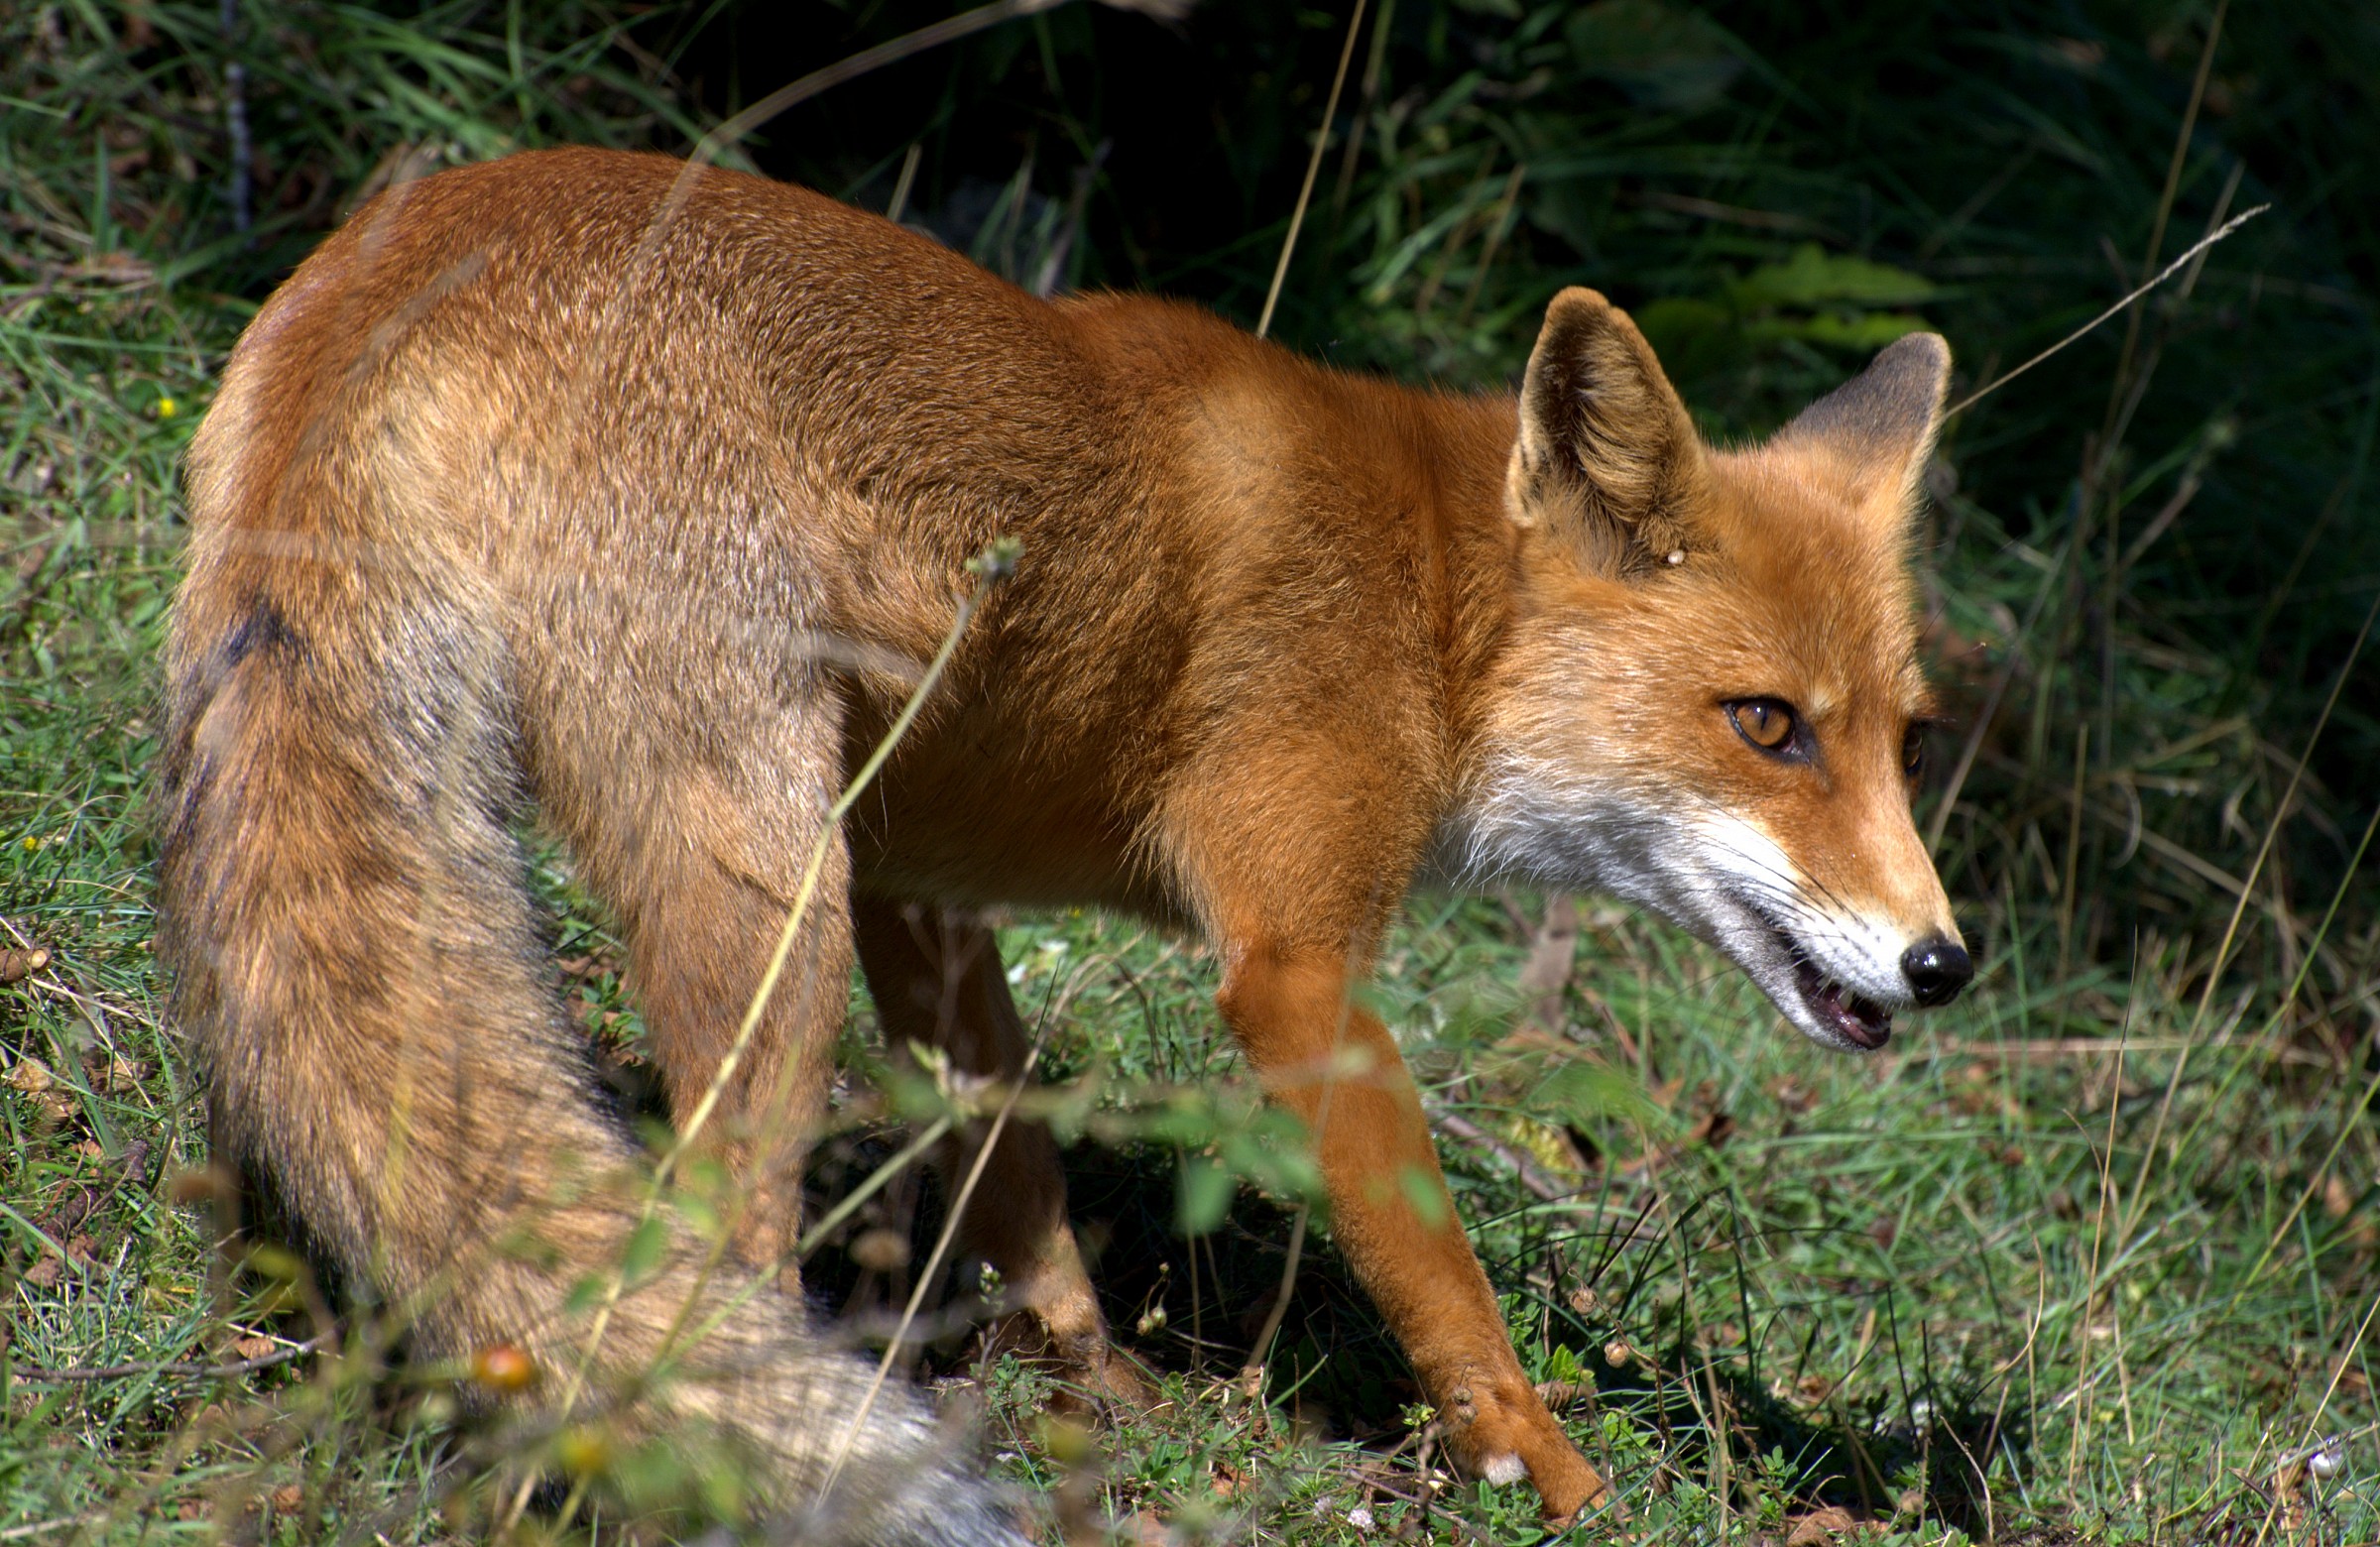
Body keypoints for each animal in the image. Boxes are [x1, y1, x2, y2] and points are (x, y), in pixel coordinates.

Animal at [157, 145, 1972, 1532]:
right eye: (1767, 726)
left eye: (1905, 740)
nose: (1944, 961)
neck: (1432, 605)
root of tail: (416, 243)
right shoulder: (1291, 966)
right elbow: (1441, 1283)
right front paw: (1554, 1478)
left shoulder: (922, 885)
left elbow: (1013, 1165)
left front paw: (1092, 1386)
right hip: (768, 912)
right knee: (707, 1243)